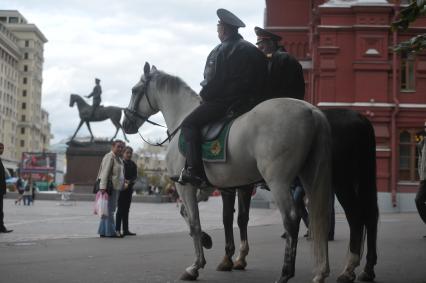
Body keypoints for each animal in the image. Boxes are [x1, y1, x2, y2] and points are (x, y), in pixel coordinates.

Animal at [122, 62, 332, 283]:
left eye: (134, 90)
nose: (126, 124)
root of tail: (311, 110)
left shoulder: (184, 185)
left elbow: (195, 222)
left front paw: (195, 265)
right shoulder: (210, 188)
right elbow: (198, 216)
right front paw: (208, 242)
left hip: (278, 181)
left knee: (291, 219)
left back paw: (285, 273)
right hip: (309, 177)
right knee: (320, 217)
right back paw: (320, 271)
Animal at [215, 110, 378, 283]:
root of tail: (359, 118)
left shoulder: (232, 186)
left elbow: (228, 218)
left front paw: (228, 258)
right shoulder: (244, 186)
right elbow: (242, 218)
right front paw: (240, 257)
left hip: (343, 181)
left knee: (355, 217)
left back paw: (348, 268)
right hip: (362, 177)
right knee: (370, 217)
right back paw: (367, 269)